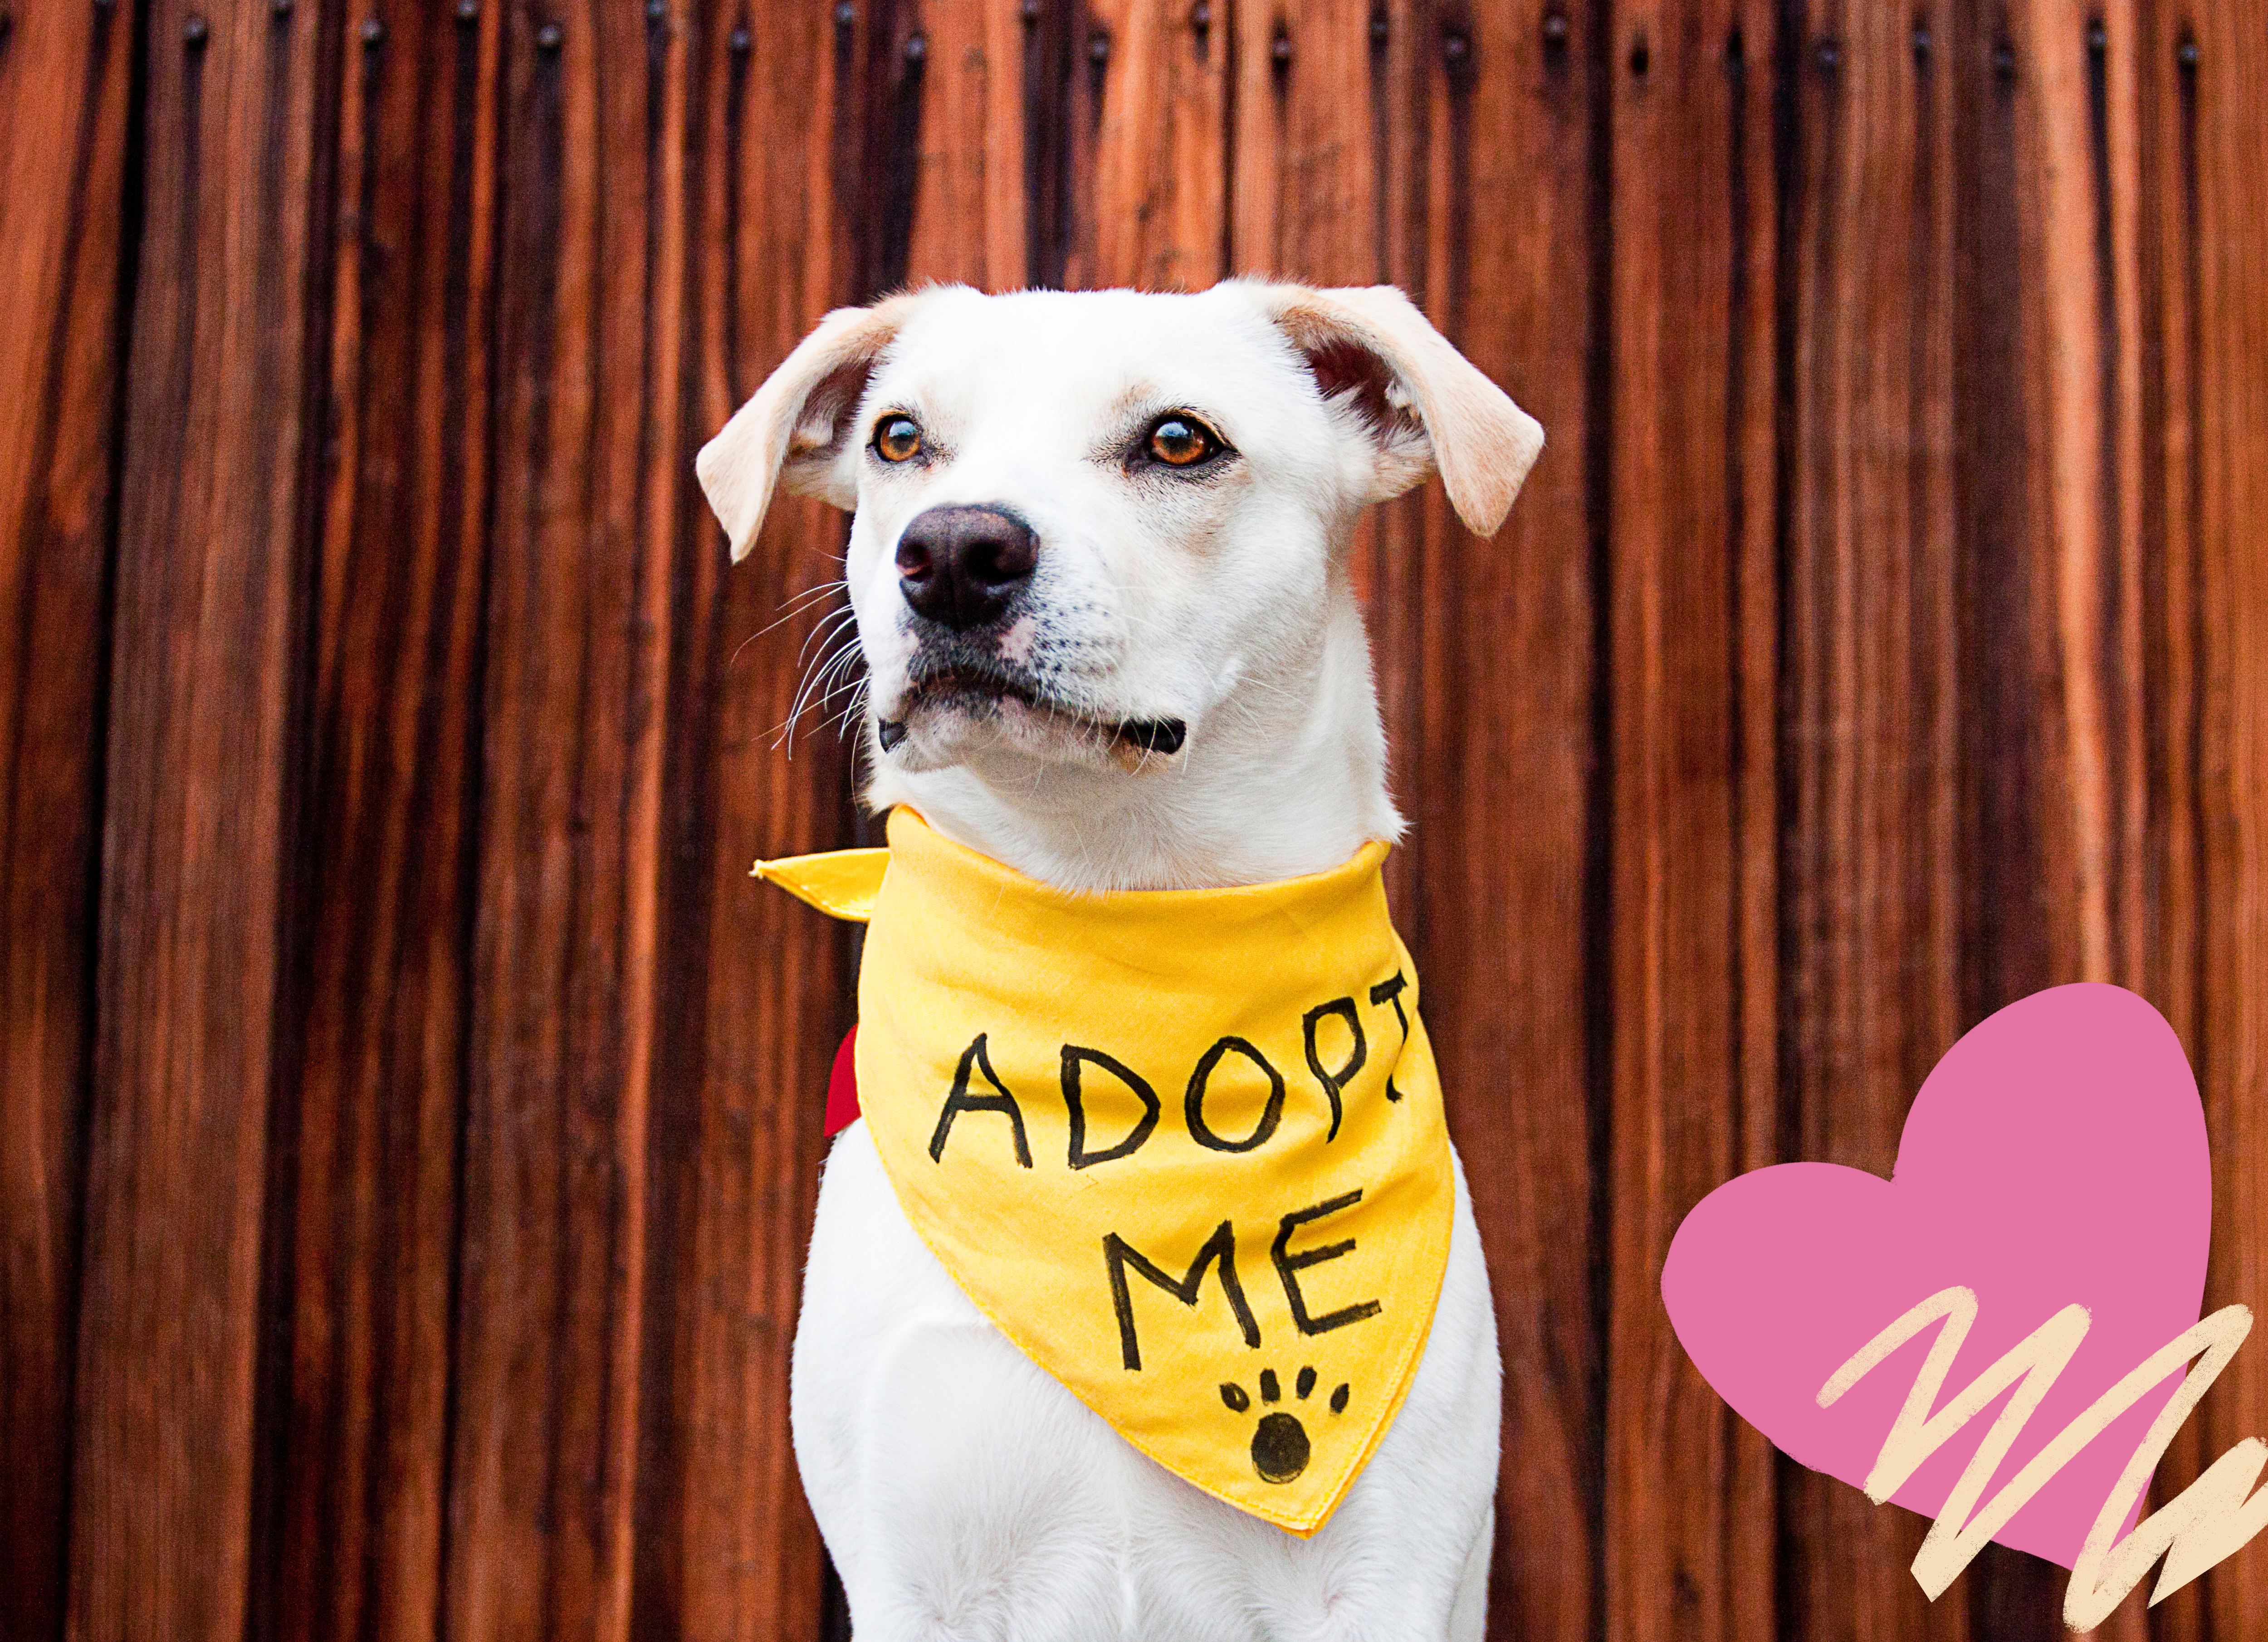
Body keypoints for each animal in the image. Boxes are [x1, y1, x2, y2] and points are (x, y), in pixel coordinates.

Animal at [689, 282, 1542, 1642]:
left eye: (1179, 441)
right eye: (898, 439)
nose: (951, 552)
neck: (1113, 924)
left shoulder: (1388, 1572)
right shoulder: (913, 1570)